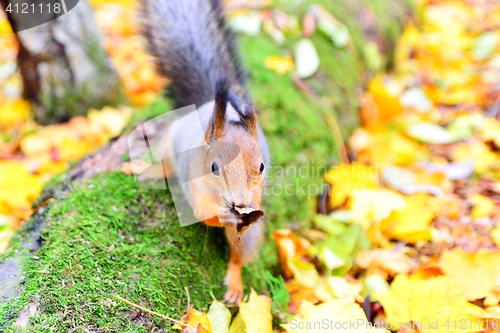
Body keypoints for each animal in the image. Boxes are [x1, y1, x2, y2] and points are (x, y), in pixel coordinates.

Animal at [141, 0, 270, 304]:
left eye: (261, 167)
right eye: (213, 167)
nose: (239, 202)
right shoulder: (195, 185)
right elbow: (203, 213)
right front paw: (222, 215)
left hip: (246, 240)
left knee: (239, 255)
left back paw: (234, 285)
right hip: (169, 143)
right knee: (164, 165)